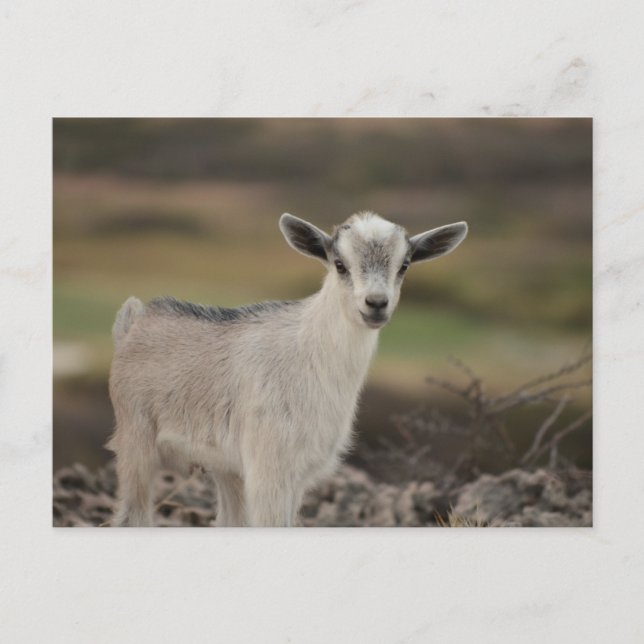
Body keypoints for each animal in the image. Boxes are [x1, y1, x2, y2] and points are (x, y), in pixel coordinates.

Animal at [107, 211, 468, 526]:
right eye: (340, 265)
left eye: (404, 265)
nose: (376, 304)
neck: (310, 355)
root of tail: (132, 322)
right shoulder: (270, 468)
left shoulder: (297, 473)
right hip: (136, 440)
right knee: (132, 516)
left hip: (225, 466)